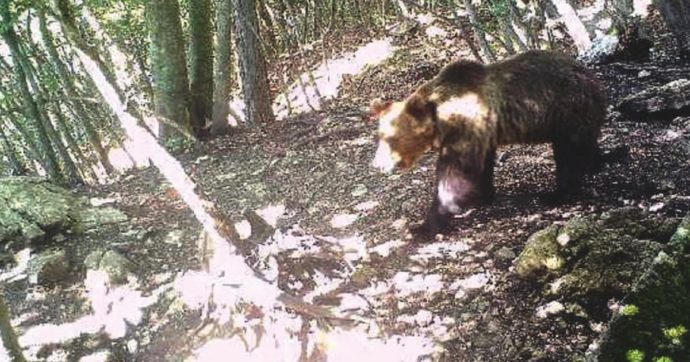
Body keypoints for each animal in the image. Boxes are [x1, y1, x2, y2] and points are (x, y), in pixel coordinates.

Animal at [370, 50, 600, 238]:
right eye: (379, 136)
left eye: (391, 138)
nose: (377, 164)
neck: (441, 119)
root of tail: (589, 74)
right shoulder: (482, 133)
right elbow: (481, 165)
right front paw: (482, 195)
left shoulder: (464, 127)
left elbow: (455, 174)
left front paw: (424, 226)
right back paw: (596, 164)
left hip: (565, 111)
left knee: (569, 155)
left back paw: (556, 194)